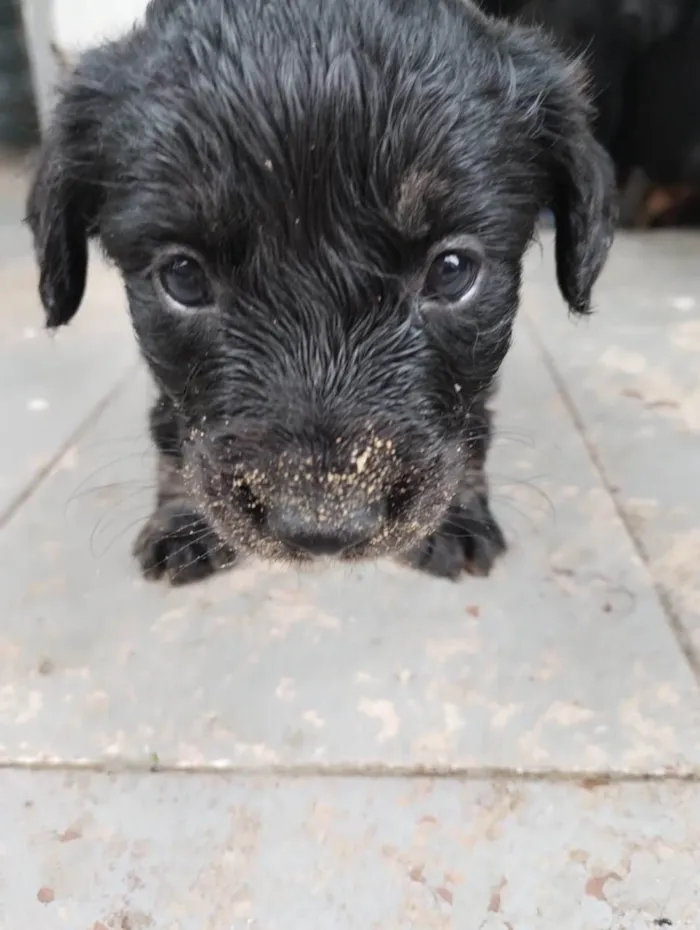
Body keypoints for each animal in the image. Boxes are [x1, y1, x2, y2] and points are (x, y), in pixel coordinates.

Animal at [24, 0, 616, 580]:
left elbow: (472, 428)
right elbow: (173, 430)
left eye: (452, 270)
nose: (323, 529)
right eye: (183, 278)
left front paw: (458, 516)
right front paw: (183, 522)